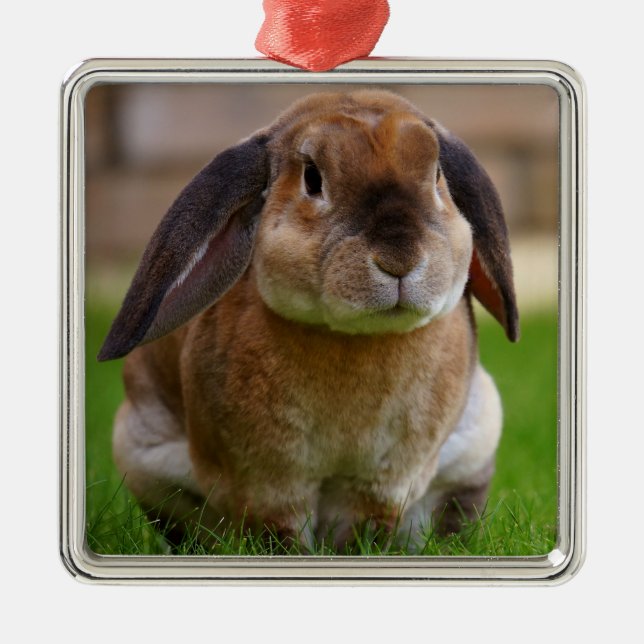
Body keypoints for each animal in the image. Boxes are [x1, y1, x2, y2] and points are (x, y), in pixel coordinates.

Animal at [98, 89, 519, 550]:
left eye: (437, 174)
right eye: (313, 179)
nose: (399, 259)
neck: (356, 338)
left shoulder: (382, 483)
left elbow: (364, 528)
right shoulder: (268, 482)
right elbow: (280, 530)